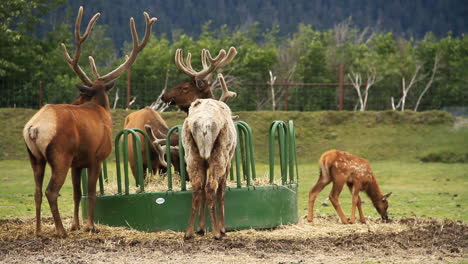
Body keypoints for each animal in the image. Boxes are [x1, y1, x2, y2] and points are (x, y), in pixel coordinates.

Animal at [22, 6, 157, 237]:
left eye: (83, 94)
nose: (75, 100)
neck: (101, 108)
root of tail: (34, 128)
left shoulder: (78, 163)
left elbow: (78, 193)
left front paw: (76, 224)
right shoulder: (97, 156)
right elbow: (92, 192)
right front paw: (90, 226)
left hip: (35, 157)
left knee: (37, 191)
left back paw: (39, 231)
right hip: (60, 154)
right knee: (51, 191)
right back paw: (60, 231)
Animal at [181, 98, 236, 239]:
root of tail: (204, 125)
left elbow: (203, 192)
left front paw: (201, 228)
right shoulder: (228, 161)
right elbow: (221, 192)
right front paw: (223, 228)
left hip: (192, 154)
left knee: (198, 187)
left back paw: (188, 232)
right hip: (219, 154)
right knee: (211, 187)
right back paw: (216, 232)